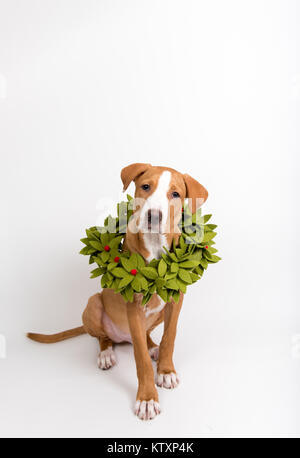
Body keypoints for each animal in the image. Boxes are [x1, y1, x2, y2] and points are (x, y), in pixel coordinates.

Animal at [27, 164, 209, 422]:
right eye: (145, 186)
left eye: (175, 194)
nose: (154, 216)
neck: (155, 248)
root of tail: (122, 338)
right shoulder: (132, 306)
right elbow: (140, 359)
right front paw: (147, 399)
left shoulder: (176, 300)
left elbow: (169, 338)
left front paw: (165, 371)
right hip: (94, 303)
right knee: (104, 338)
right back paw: (106, 354)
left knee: (145, 335)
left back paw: (151, 346)